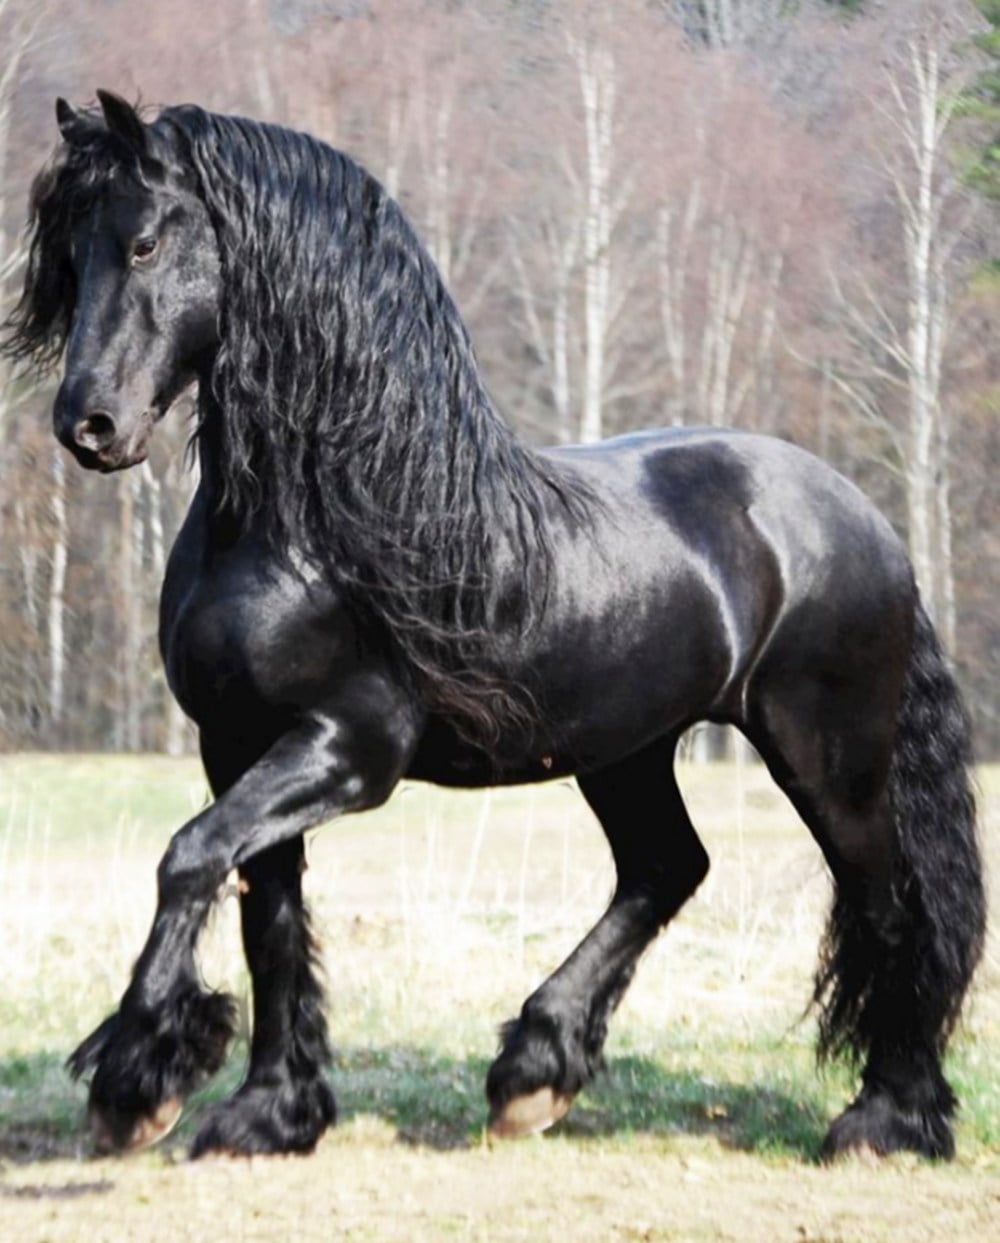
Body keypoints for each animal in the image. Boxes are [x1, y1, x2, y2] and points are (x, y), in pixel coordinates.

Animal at [1, 90, 984, 1161]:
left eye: (143, 242)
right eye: (67, 257)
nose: (88, 425)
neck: (317, 523)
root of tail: (864, 517)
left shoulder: (348, 750)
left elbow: (187, 859)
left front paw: (137, 1079)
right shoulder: (236, 743)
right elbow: (267, 914)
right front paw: (269, 1109)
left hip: (827, 757)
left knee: (890, 909)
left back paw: (887, 1116)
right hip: (627, 748)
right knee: (666, 866)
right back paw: (534, 1072)